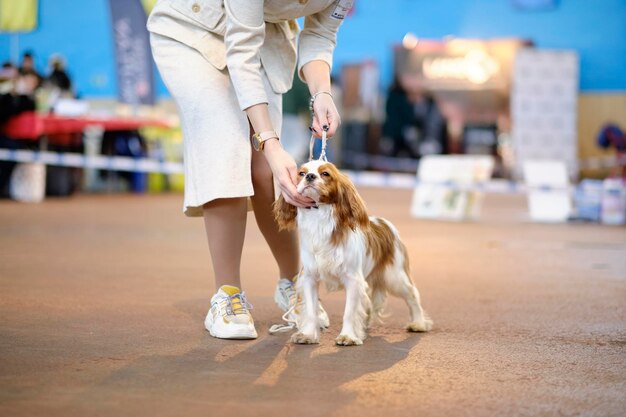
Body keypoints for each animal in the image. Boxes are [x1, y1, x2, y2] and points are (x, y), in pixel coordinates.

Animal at [276, 159, 432, 344]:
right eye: (301, 173)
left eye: (325, 174)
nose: (310, 176)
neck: (319, 221)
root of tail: (385, 223)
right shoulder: (309, 278)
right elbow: (312, 310)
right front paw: (307, 335)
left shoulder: (353, 280)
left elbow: (350, 312)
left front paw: (348, 336)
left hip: (395, 276)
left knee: (412, 295)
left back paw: (418, 323)